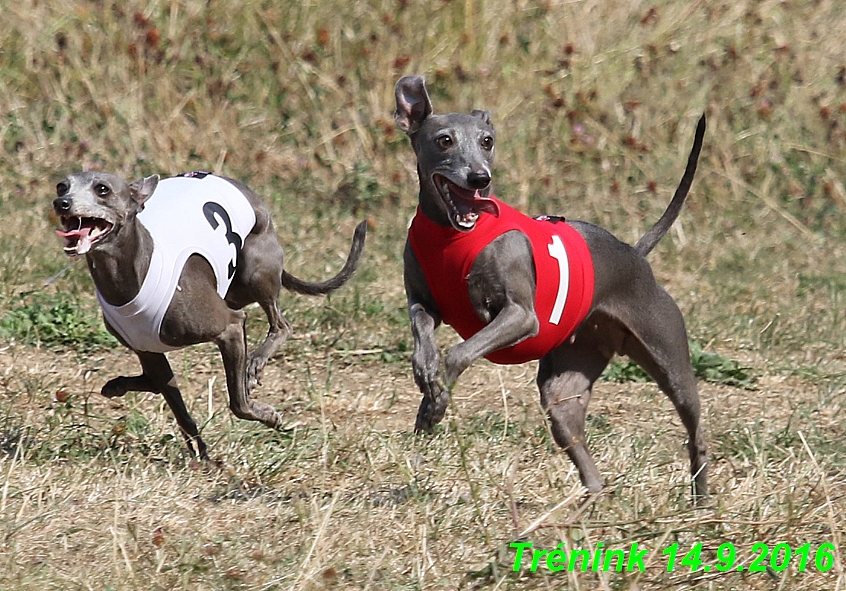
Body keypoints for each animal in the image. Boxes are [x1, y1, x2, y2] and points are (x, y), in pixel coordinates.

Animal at [54, 171, 366, 458]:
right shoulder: (148, 349)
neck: (136, 270)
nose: (62, 203)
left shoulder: (229, 328)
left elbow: (238, 403)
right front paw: (202, 456)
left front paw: (269, 415)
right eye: (61, 185)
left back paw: (255, 363)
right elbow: (181, 412)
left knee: (280, 324)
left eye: (102, 189)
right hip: (231, 289)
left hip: (255, 270)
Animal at [398, 74, 708, 500]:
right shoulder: (423, 301)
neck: (452, 233)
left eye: (487, 141)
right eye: (444, 140)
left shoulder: (520, 317)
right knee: (585, 459)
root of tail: (634, 254)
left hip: (669, 355)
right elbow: (422, 327)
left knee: (695, 429)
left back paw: (701, 497)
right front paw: (425, 375)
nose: (480, 177)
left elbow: (459, 353)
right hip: (566, 386)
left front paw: (437, 400)